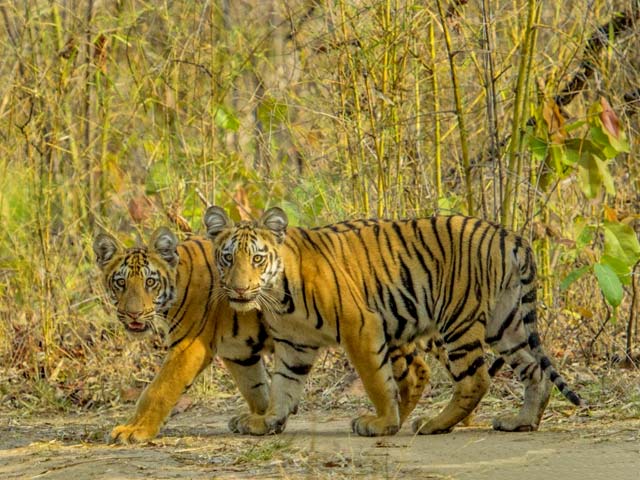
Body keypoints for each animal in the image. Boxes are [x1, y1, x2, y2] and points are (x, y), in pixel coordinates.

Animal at [93, 226, 430, 442]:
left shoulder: (189, 346)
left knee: (410, 373)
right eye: (120, 283)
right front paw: (267, 419)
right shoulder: (238, 352)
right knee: (418, 370)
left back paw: (392, 420)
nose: (132, 314)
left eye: (149, 282)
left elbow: (157, 391)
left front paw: (134, 431)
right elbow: (256, 387)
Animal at [203, 206, 583, 437]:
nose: (239, 289)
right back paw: (521, 422)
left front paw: (383, 423)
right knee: (534, 370)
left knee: (475, 380)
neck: (278, 296)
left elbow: (376, 380)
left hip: (458, 320)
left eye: (257, 258)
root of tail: (509, 235)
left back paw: (432, 424)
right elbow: (283, 385)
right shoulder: (295, 344)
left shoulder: (360, 326)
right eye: (227, 259)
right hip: (504, 323)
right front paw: (267, 421)